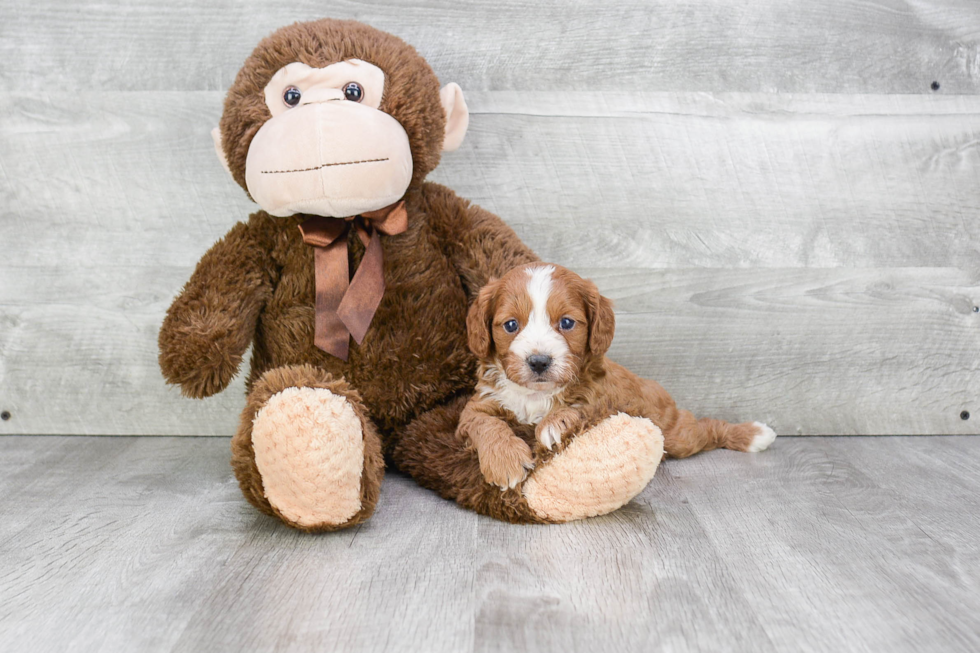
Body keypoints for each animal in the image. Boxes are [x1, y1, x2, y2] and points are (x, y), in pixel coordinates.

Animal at [458, 262, 772, 486]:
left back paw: (755, 434)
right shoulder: (479, 404)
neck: (536, 395)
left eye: (567, 323)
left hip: (676, 433)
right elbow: (483, 422)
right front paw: (505, 461)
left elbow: (582, 407)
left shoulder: (606, 399)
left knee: (706, 428)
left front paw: (555, 423)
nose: (538, 361)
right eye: (511, 325)